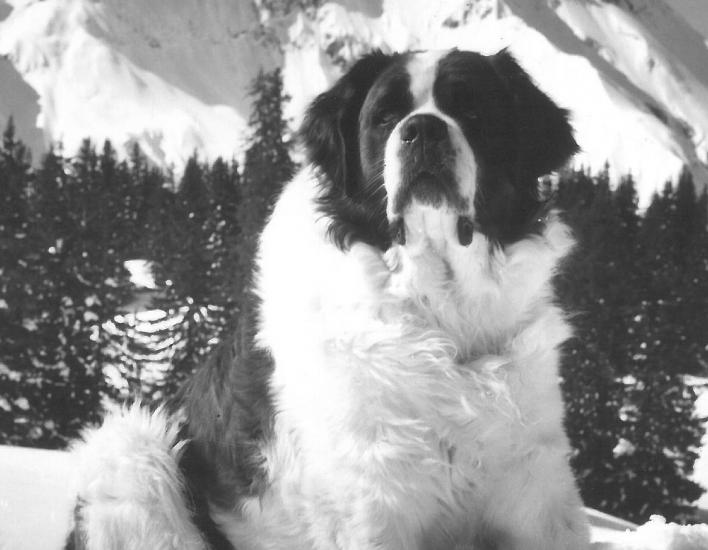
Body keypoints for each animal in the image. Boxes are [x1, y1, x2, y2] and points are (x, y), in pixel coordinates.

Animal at [66, 48, 588, 550]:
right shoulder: (372, 497)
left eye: (472, 110)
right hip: (134, 454)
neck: (444, 315)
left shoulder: (536, 489)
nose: (422, 130)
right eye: (384, 117)